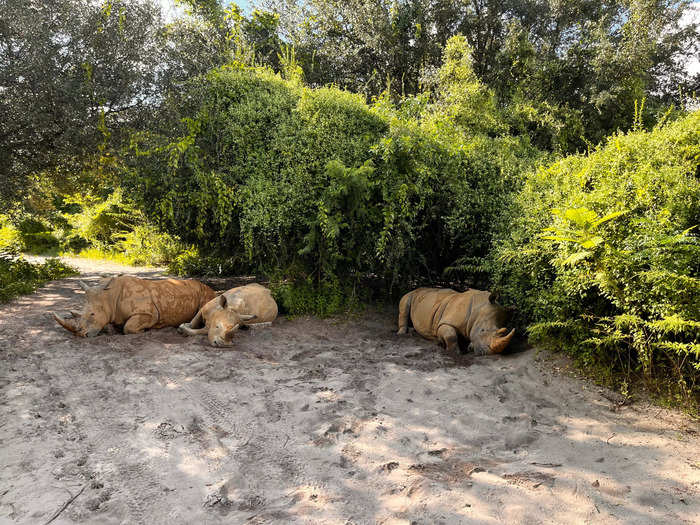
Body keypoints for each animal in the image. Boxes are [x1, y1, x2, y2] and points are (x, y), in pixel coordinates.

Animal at [53, 274, 216, 336]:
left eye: (92, 314)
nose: (80, 334)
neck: (109, 297)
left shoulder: (149, 313)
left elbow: (128, 327)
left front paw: (143, 330)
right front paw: (110, 329)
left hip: (205, 292)